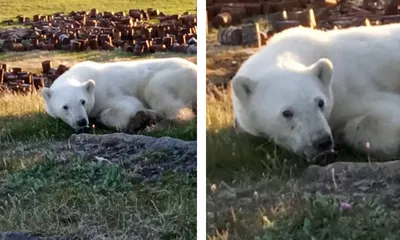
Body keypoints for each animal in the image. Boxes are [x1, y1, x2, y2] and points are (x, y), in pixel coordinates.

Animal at [41, 57, 196, 133]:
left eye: (83, 101)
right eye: (65, 107)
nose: (81, 121)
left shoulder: (106, 92)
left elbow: (128, 106)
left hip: (171, 77)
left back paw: (151, 126)